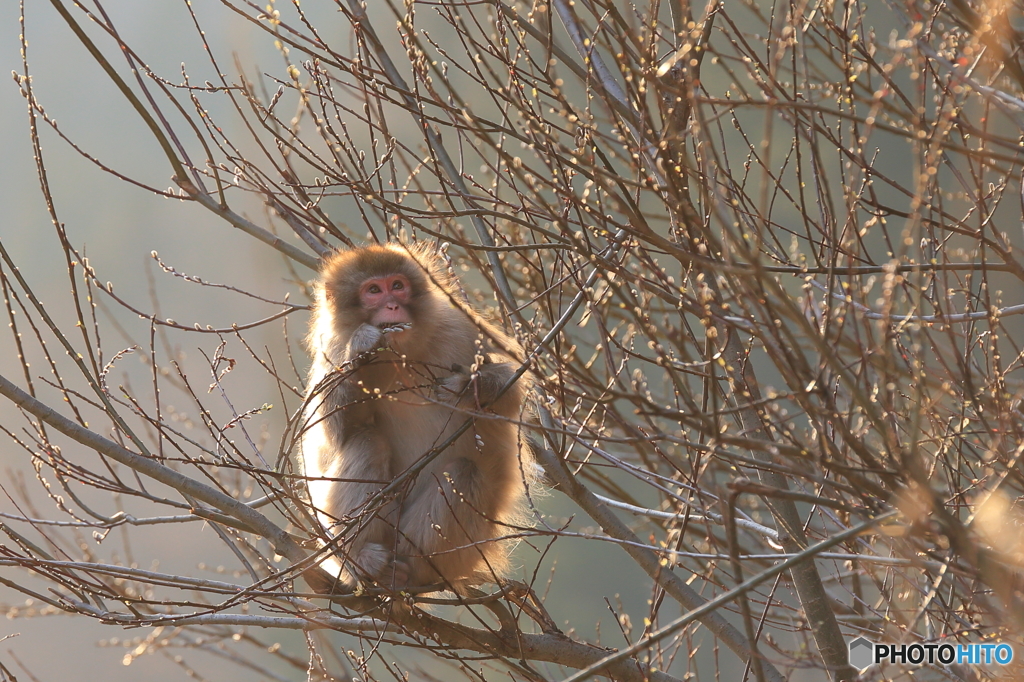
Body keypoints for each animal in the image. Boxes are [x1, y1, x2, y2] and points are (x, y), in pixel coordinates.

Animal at [299, 241, 532, 593]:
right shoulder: (333, 352)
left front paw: (469, 386)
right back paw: (366, 560)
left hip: (463, 551)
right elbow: (334, 432)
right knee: (366, 440)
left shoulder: (460, 327)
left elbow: (512, 391)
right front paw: (363, 348)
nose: (393, 306)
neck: (402, 353)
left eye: (397, 285)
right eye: (373, 291)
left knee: (465, 472)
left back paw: (410, 570)